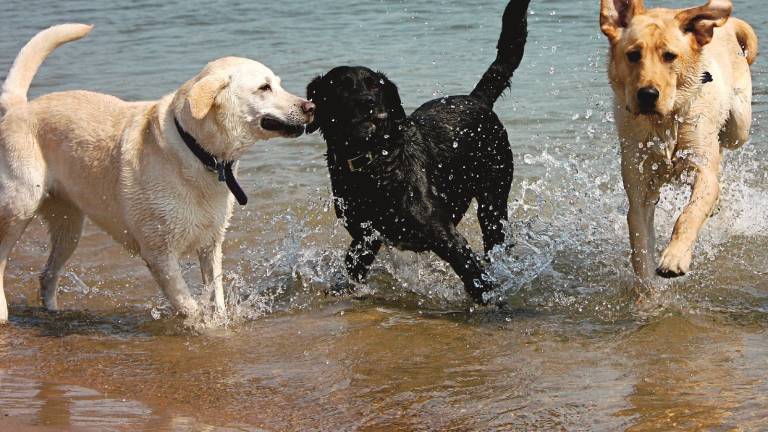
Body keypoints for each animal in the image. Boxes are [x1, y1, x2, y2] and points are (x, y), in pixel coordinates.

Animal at [0, 22, 316, 320]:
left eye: (278, 84)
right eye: (264, 88)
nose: (311, 106)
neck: (197, 151)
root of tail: (19, 108)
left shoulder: (211, 244)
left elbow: (216, 298)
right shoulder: (159, 253)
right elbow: (189, 306)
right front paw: (204, 327)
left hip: (69, 226)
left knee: (47, 275)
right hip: (20, 206)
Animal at [600, 0, 756, 290]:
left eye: (669, 56)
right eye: (633, 55)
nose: (647, 94)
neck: (664, 124)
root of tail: (728, 24)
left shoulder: (702, 169)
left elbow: (689, 214)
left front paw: (674, 258)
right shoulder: (639, 191)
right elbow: (640, 246)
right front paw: (648, 290)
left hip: (739, 126)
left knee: (721, 149)